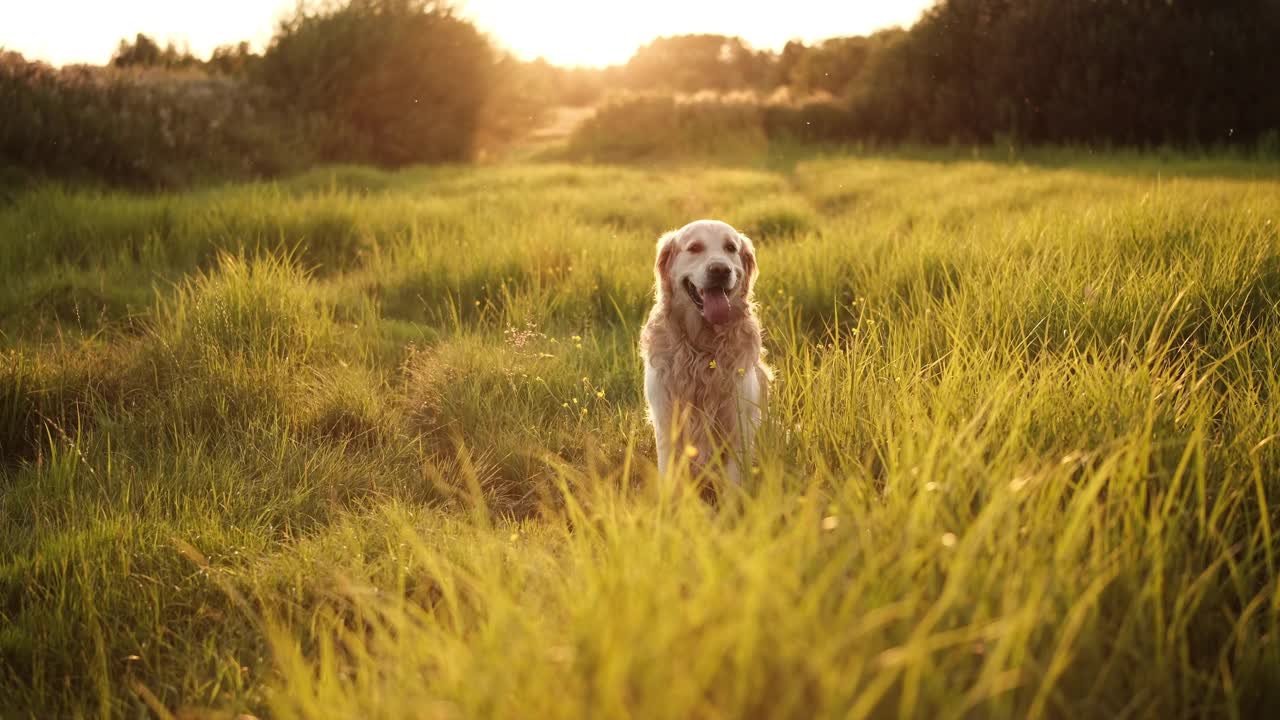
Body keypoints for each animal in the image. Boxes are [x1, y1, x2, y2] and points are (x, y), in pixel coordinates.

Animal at [640, 217, 768, 481]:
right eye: (695, 248)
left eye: (730, 248)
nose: (720, 270)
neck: (703, 346)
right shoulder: (666, 420)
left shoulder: (739, 423)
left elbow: (734, 482)